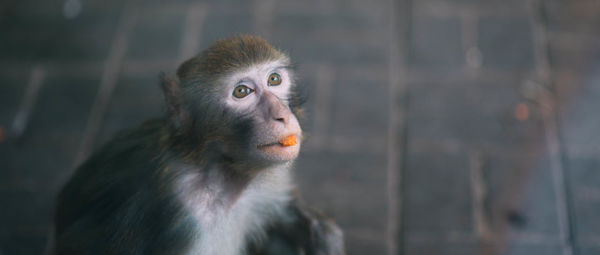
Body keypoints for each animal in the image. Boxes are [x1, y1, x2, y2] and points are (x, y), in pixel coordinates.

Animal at [54, 34, 344, 255]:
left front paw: (320, 233)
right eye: (242, 92)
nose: (281, 115)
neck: (220, 177)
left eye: (274, 79)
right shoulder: (188, 222)